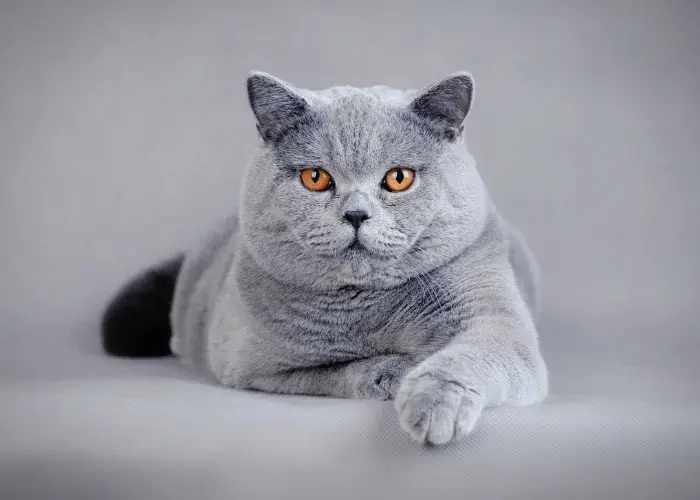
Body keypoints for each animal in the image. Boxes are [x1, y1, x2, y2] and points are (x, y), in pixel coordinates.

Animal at [100, 71, 548, 446]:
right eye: (315, 178)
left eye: (398, 178)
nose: (356, 214)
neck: (366, 308)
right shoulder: (252, 369)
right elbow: (339, 372)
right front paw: (395, 371)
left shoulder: (496, 322)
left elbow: (473, 353)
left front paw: (435, 403)